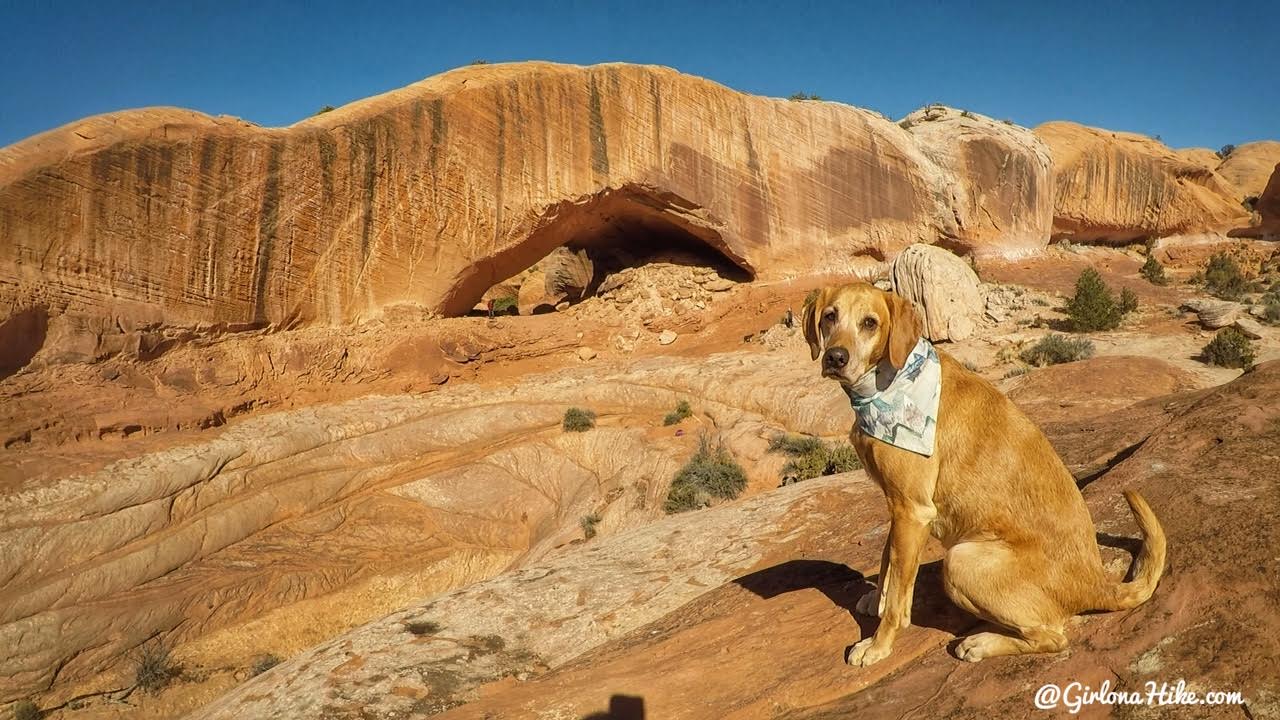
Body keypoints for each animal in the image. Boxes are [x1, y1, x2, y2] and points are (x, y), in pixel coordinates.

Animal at [808, 283, 1172, 666]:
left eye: (870, 323)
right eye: (830, 316)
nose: (835, 358)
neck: (890, 383)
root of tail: (1096, 584)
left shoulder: (913, 508)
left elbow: (897, 599)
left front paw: (878, 645)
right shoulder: (900, 506)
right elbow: (887, 561)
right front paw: (875, 599)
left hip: (960, 561)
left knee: (1054, 637)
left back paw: (981, 643)